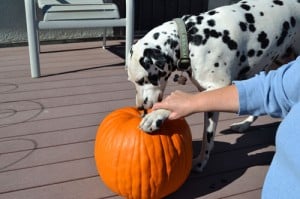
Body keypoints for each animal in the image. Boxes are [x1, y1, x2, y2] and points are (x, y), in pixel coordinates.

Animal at [126, 0, 300, 171]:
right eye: (132, 81)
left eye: (142, 80)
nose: (140, 107)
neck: (193, 37)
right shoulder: (208, 99)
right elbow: (207, 136)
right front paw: (201, 161)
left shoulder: (219, 87)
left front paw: (157, 115)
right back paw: (243, 125)